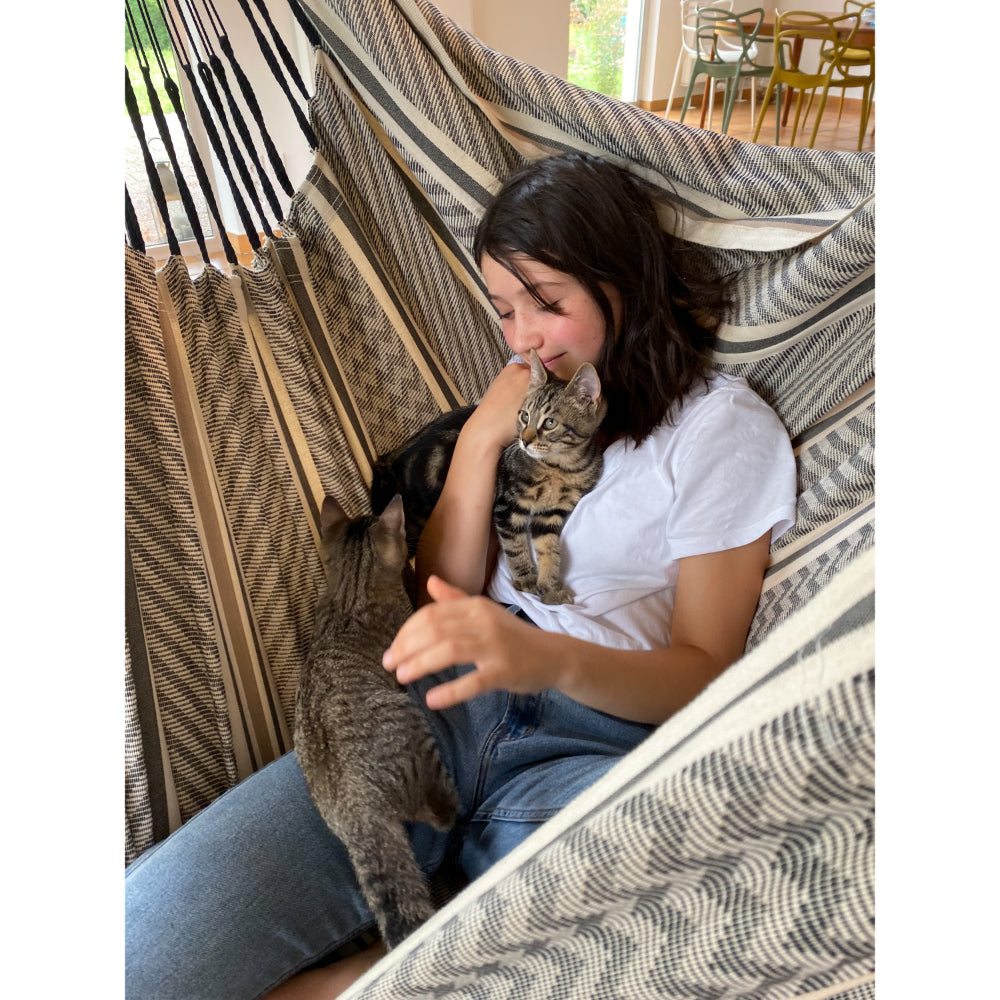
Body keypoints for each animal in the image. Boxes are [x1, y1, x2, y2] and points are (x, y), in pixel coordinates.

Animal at [494, 348, 604, 604]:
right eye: (524, 416)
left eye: (550, 423)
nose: (524, 440)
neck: (559, 468)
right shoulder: (508, 504)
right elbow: (514, 545)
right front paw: (526, 578)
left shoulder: (550, 513)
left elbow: (548, 548)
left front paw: (550, 588)